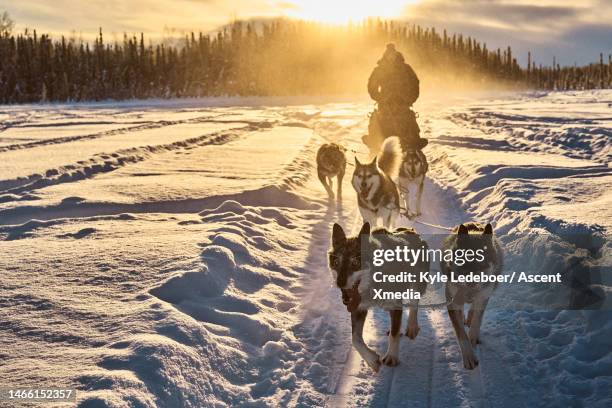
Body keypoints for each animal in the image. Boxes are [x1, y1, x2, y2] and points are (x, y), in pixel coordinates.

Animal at [330, 222, 426, 372]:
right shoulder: (359, 307)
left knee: (414, 302)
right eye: (336, 262)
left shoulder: (395, 302)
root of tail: (410, 231)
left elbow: (394, 335)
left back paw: (412, 326)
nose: (339, 283)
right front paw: (371, 360)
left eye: (355, 262)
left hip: (418, 282)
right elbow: (355, 339)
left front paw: (392, 356)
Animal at [442, 223, 504, 370]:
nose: (472, 281)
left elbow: (477, 319)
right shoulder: (452, 301)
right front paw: (469, 357)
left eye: (483, 262)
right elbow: (460, 333)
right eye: (465, 260)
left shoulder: (483, 295)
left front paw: (473, 337)